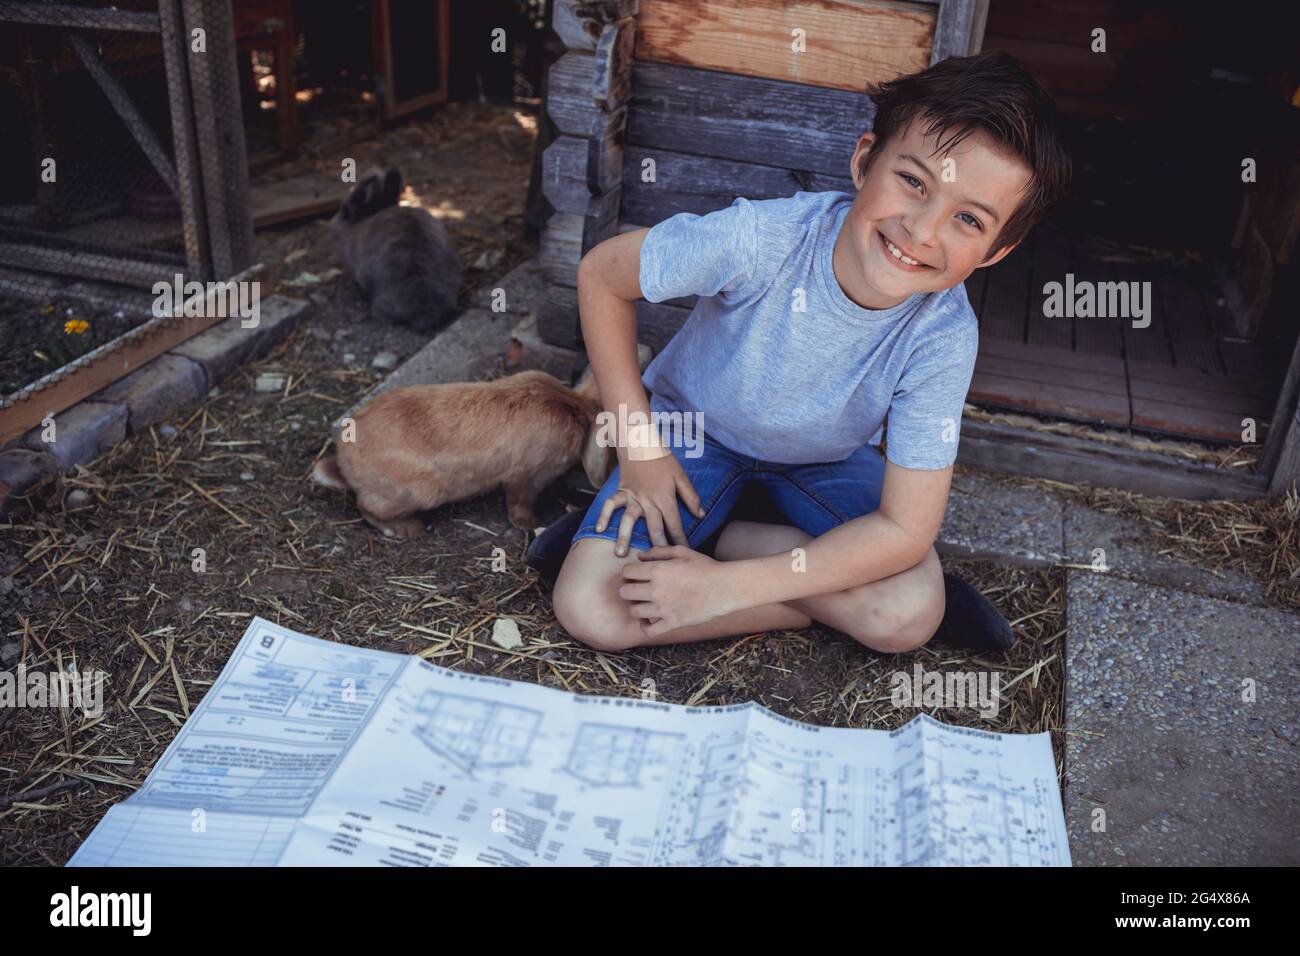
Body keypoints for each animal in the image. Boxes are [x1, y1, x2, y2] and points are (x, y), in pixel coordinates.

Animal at [315, 366, 618, 538]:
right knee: (366, 506)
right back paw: (406, 530)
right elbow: (519, 500)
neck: (573, 402)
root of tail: (343, 461)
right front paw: (529, 523)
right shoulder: (528, 476)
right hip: (418, 492)